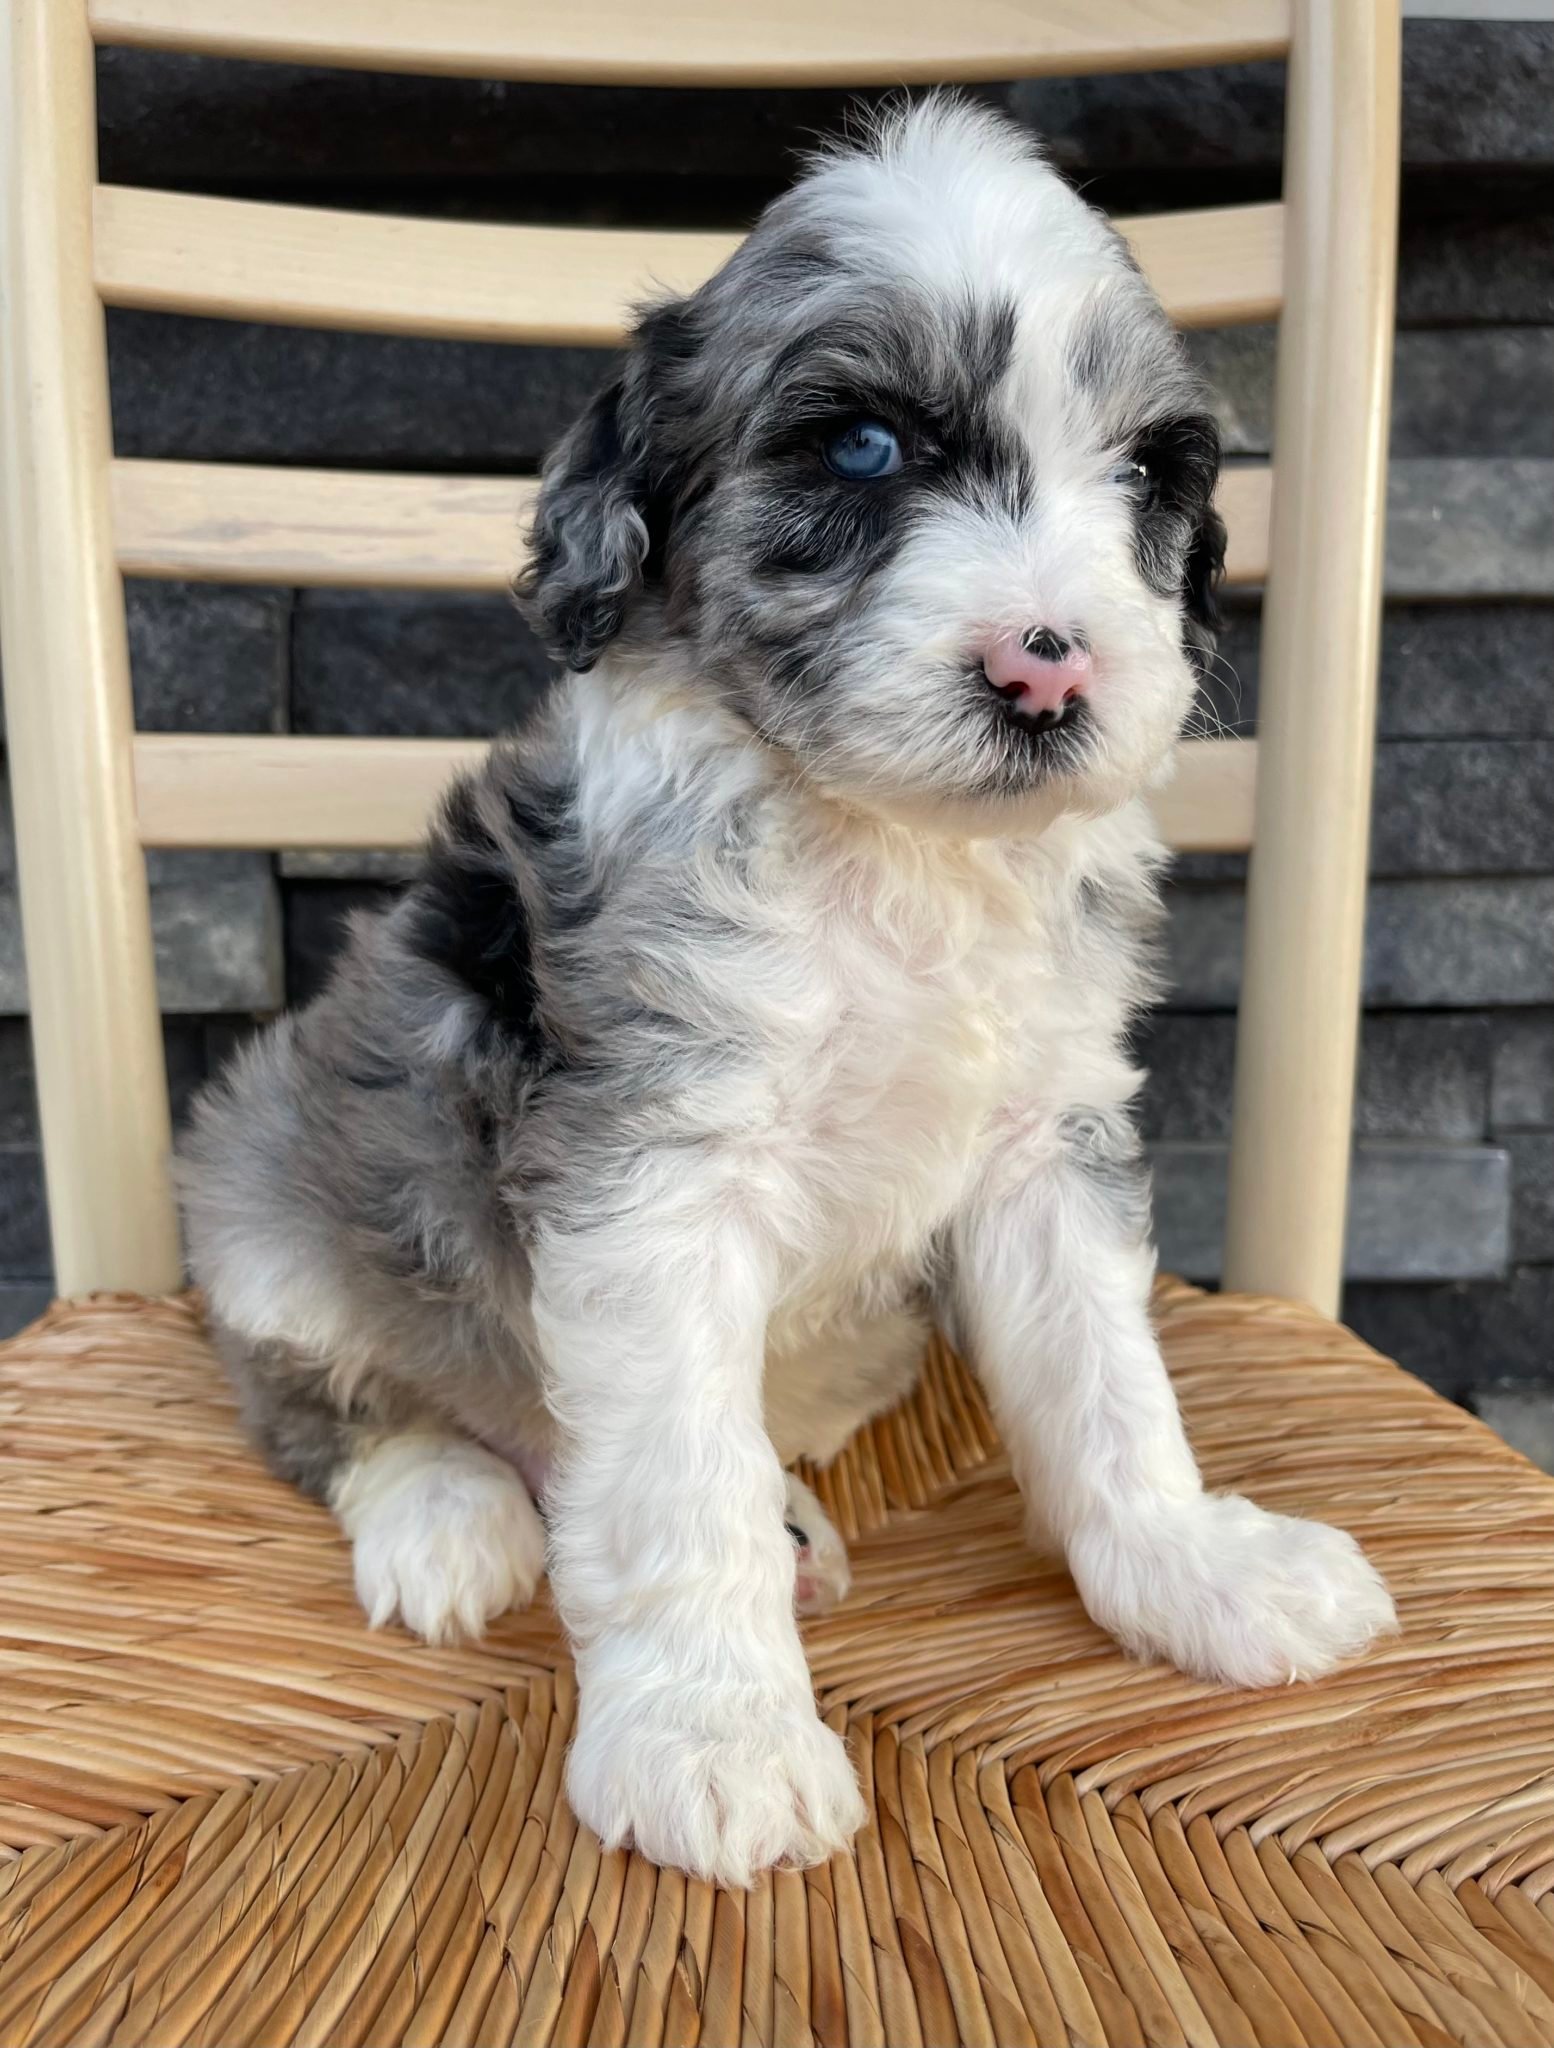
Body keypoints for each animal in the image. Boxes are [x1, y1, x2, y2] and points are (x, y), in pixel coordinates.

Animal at [182, 96, 1400, 1884]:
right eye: (867, 451)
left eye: (1146, 475)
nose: (1047, 668)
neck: (893, 849)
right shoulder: (652, 1165)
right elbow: (670, 1483)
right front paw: (716, 1736)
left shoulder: (1047, 1141)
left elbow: (1109, 1393)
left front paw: (1196, 1570)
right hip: (268, 1194)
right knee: (337, 1405)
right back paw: (447, 1514)